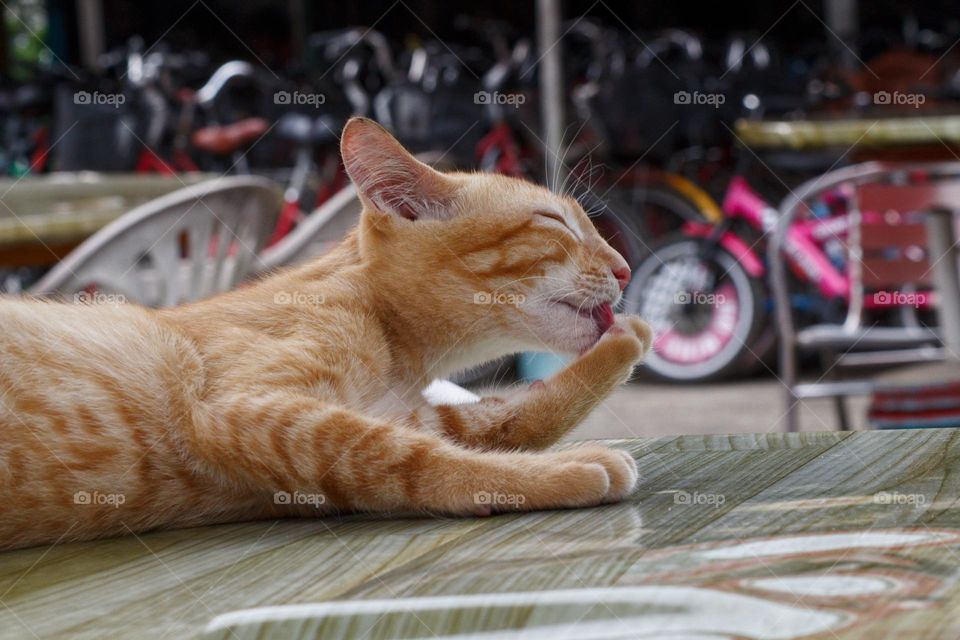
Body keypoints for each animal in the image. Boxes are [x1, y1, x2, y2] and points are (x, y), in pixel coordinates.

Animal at [0, 119, 652, 552]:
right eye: (553, 221)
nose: (625, 268)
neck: (395, 350)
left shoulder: (409, 413)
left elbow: (511, 418)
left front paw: (624, 342)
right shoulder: (245, 410)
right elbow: (418, 461)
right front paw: (559, 472)